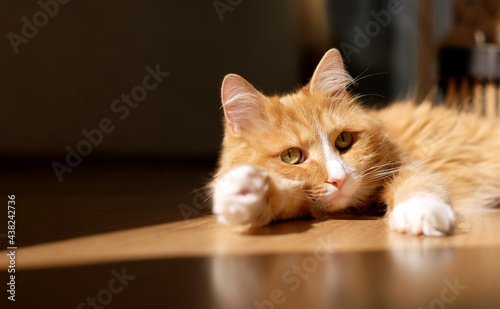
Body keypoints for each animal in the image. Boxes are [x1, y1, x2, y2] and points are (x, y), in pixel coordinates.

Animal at [210, 48, 500, 236]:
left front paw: (420, 211)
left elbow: (418, 185)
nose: (339, 179)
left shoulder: (408, 166)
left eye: (344, 140)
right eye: (291, 156)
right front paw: (244, 190)